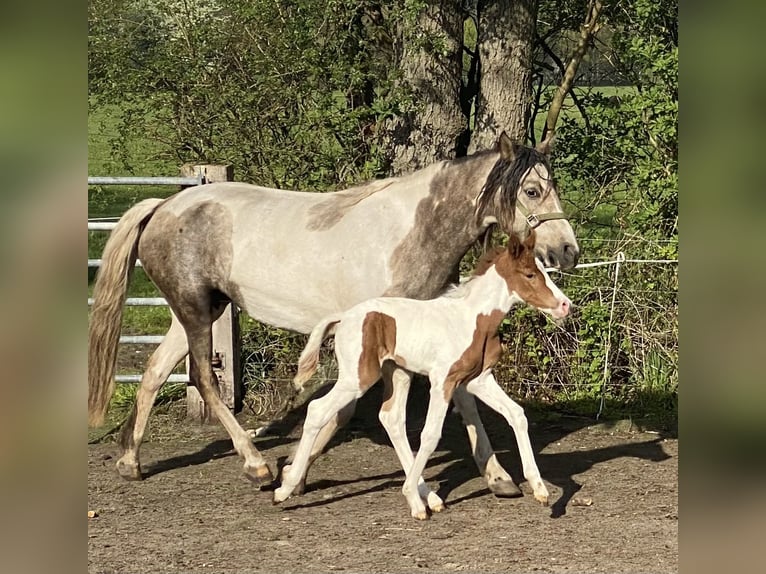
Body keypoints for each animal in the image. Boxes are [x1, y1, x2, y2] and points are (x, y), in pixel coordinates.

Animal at [274, 231, 568, 520]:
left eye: (544, 270)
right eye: (530, 274)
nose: (565, 305)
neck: (472, 320)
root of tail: (343, 317)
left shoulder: (479, 380)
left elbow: (516, 414)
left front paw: (540, 490)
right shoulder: (443, 382)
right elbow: (430, 435)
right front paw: (409, 495)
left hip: (398, 373)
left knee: (391, 419)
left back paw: (429, 498)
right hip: (357, 378)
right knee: (317, 409)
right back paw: (285, 488)